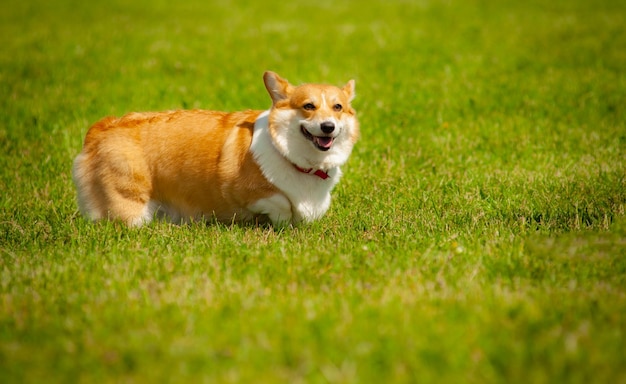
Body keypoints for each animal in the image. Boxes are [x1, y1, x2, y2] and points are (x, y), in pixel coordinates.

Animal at [72, 71, 356, 226]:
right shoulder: (243, 191)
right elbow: (282, 203)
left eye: (338, 107)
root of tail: (101, 128)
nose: (328, 127)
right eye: (308, 106)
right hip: (131, 209)